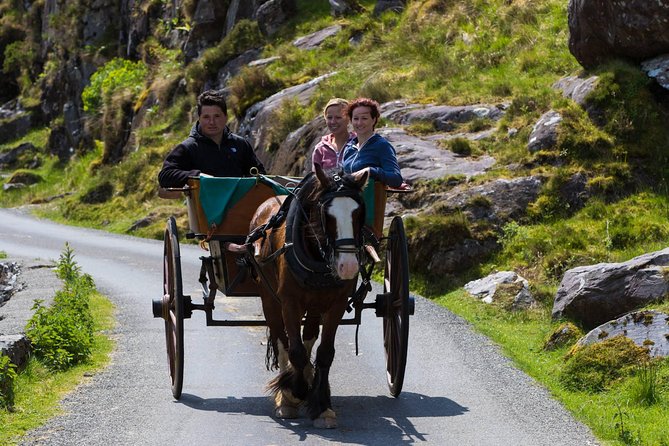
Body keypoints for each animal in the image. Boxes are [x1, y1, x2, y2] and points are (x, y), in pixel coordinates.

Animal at [248, 165, 368, 428]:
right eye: (327, 215)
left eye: (359, 213)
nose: (348, 266)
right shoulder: (289, 303)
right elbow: (294, 350)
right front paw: (295, 393)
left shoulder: (336, 304)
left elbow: (324, 352)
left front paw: (322, 405)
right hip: (269, 299)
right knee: (282, 341)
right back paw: (287, 395)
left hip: (314, 306)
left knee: (309, 338)